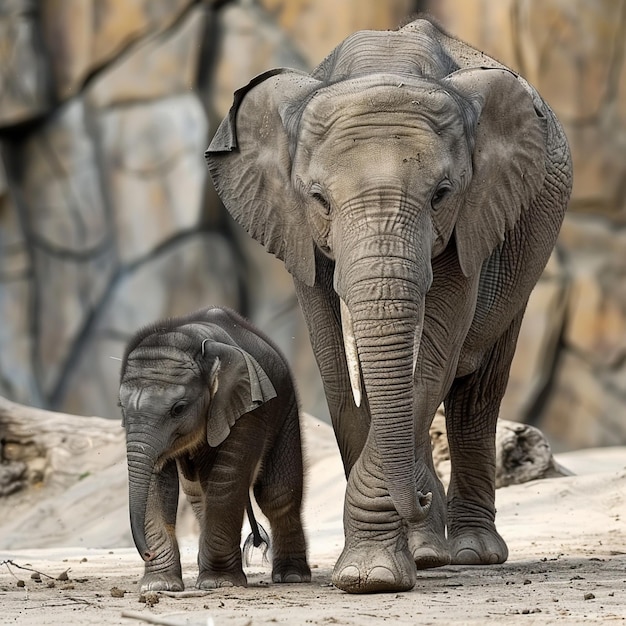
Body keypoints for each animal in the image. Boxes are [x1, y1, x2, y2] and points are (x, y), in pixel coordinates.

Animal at [118, 308, 310, 588]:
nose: (147, 553)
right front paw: (159, 585)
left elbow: (227, 479)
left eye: (178, 409)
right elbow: (157, 482)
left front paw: (219, 583)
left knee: (276, 494)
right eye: (121, 408)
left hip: (286, 407)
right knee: (199, 495)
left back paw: (292, 577)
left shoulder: (248, 407)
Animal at [206, 17, 572, 592]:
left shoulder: (474, 216)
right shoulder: (298, 235)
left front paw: (373, 576)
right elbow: (338, 373)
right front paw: (373, 571)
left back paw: (468, 551)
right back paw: (428, 551)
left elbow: (434, 356)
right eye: (319, 199)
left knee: (477, 389)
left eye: (441, 194)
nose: (418, 500)